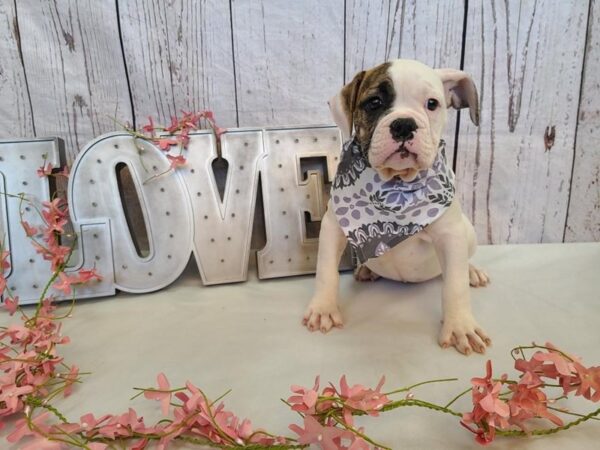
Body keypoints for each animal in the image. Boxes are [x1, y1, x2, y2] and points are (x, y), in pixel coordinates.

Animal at [302, 59, 490, 356]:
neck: (395, 187)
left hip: (467, 232)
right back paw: (366, 270)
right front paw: (323, 308)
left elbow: (454, 286)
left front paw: (461, 326)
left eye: (432, 103)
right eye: (374, 102)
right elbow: (326, 271)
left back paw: (472, 272)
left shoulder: (451, 236)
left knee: (462, 264)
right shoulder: (333, 227)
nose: (403, 124)